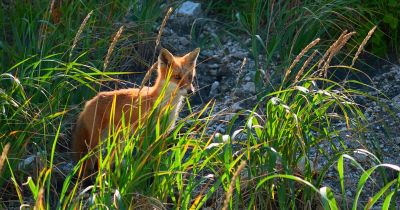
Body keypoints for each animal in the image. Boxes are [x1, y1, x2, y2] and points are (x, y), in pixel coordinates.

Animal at [71, 47, 200, 177]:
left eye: (190, 77)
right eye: (177, 77)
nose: (190, 91)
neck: (162, 106)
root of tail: (88, 103)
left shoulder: (163, 133)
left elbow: (158, 159)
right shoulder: (145, 133)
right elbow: (145, 159)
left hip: (118, 140)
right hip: (96, 143)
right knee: (88, 163)